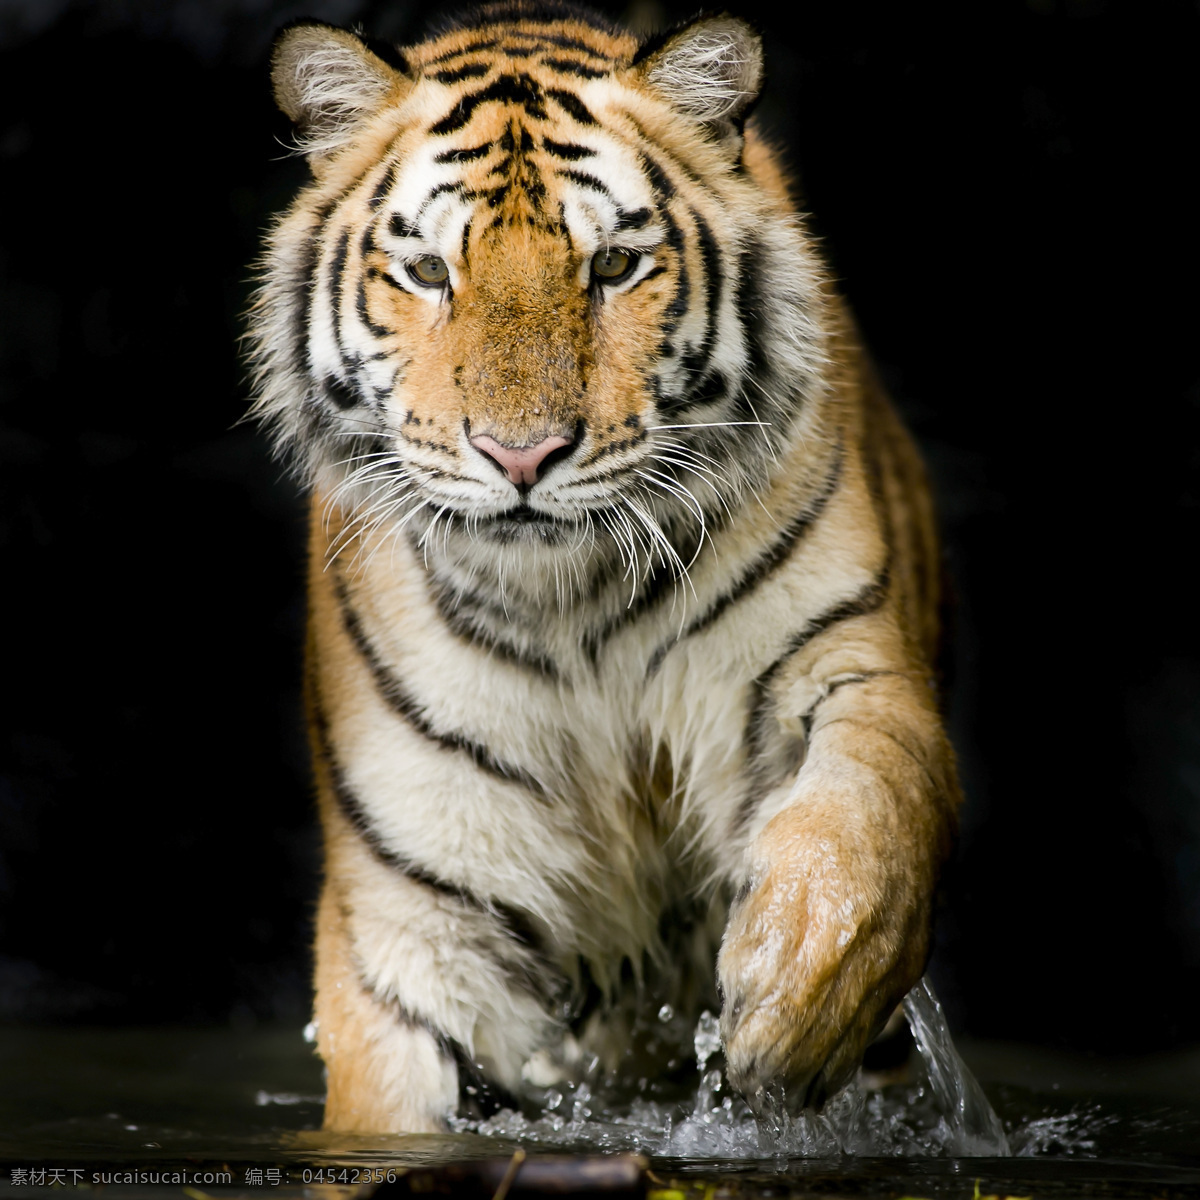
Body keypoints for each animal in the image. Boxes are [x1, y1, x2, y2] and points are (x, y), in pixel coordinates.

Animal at [248, 0, 960, 1128]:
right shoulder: (419, 913)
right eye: (429, 272)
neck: (569, 605)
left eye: (614, 266)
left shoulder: (838, 654)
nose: (521, 455)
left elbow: (873, 805)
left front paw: (798, 990)